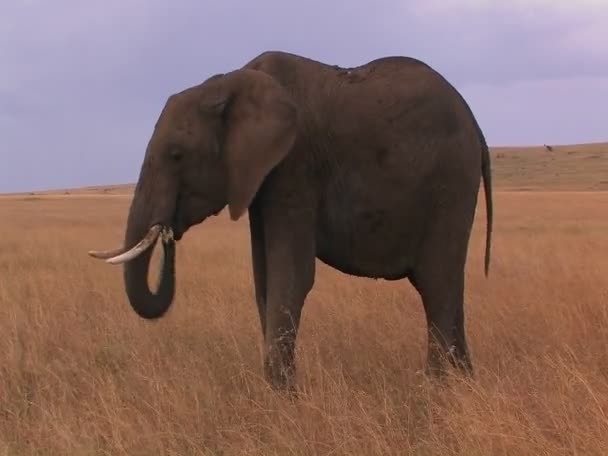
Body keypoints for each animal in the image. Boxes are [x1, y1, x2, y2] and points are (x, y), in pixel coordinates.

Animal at [90, 50, 494, 392]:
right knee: (449, 285)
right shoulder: (261, 181)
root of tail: (476, 124)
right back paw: (465, 384)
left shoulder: (295, 166)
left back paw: (436, 392)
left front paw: (284, 396)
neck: (227, 82)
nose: (168, 232)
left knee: (436, 284)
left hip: (451, 180)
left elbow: (293, 275)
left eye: (176, 155)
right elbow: (264, 279)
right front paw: (276, 393)